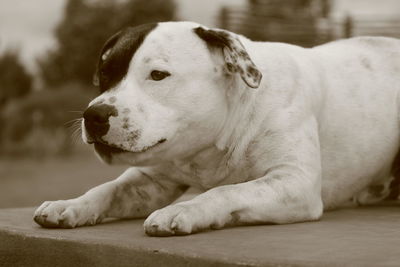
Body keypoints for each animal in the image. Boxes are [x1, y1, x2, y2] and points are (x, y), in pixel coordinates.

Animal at [33, 22, 400, 237]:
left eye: (158, 75)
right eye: (106, 74)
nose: (94, 114)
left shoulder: (294, 182)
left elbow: (225, 191)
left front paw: (182, 210)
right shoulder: (152, 180)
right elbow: (108, 190)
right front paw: (70, 205)